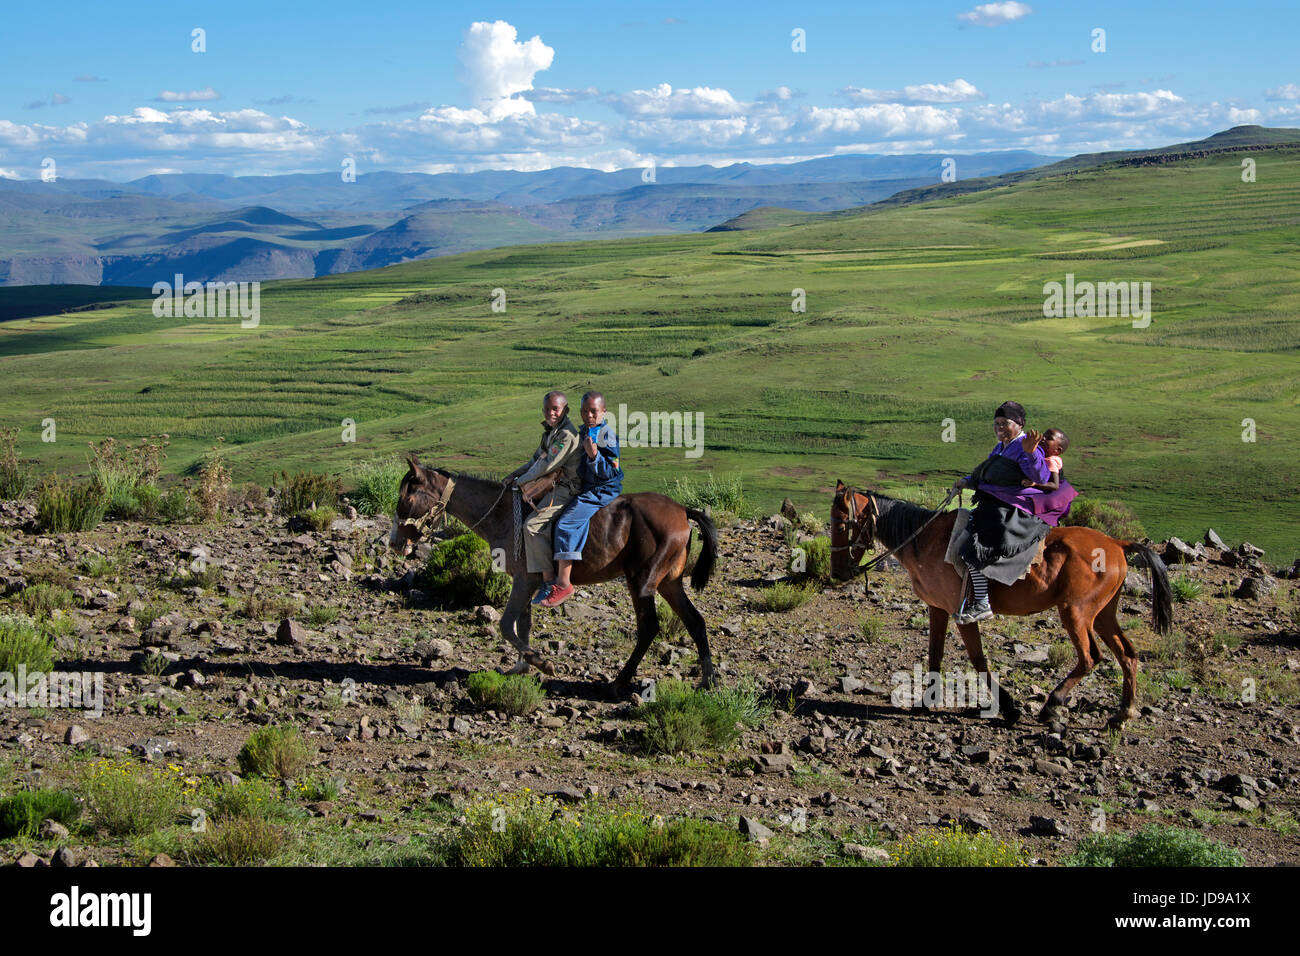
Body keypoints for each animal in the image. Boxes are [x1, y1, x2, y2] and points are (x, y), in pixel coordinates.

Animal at [384, 457, 722, 691]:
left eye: (407, 497)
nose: (395, 541)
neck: (502, 515)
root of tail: (683, 511)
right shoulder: (527, 582)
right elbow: (522, 625)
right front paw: (520, 668)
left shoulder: (524, 580)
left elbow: (507, 625)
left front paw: (542, 663)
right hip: (669, 582)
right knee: (694, 621)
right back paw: (708, 680)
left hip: (642, 582)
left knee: (649, 627)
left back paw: (618, 682)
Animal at [832, 481, 1180, 728]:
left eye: (843, 524)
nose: (837, 572)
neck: (925, 540)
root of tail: (1117, 543)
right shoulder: (938, 609)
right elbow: (935, 654)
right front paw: (925, 702)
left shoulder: (962, 613)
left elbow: (978, 660)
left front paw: (1009, 707)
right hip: (1103, 614)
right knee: (1127, 654)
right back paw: (1123, 714)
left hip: (1076, 612)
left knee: (1090, 657)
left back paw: (1052, 705)